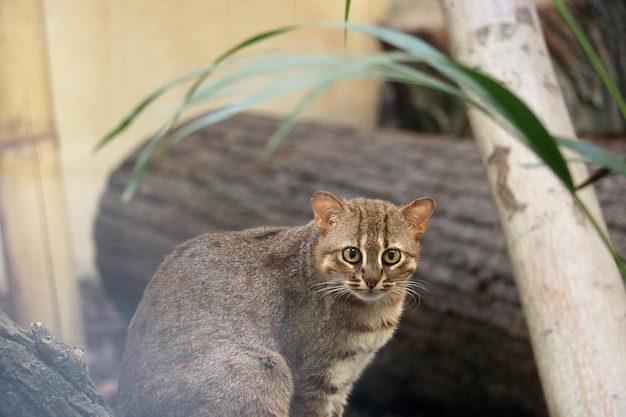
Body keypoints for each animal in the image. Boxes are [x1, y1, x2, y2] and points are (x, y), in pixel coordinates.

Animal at [117, 192, 434, 416]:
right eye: (351, 254)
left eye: (391, 256)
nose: (370, 280)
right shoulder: (314, 380)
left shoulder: (345, 380)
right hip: (263, 368)